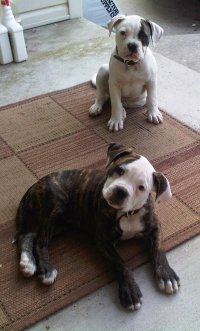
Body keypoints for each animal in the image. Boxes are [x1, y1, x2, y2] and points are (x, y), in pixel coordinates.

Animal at [14, 143, 180, 312]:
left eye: (141, 187)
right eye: (120, 170)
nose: (120, 191)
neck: (126, 214)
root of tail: (35, 185)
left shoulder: (155, 227)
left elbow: (158, 250)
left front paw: (166, 275)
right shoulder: (103, 241)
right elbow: (120, 263)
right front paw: (130, 290)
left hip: (60, 223)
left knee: (27, 235)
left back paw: (28, 263)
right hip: (57, 205)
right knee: (40, 241)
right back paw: (46, 269)